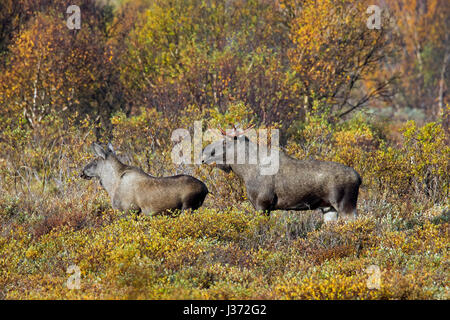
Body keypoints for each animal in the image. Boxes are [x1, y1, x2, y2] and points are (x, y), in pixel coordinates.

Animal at [81, 144, 209, 216]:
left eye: (95, 161)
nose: (82, 172)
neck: (111, 185)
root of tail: (206, 189)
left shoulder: (130, 210)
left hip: (188, 207)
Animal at [201, 126, 362, 221]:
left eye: (224, 142)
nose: (203, 154)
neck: (245, 171)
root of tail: (359, 178)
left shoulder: (262, 204)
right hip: (329, 209)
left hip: (345, 205)